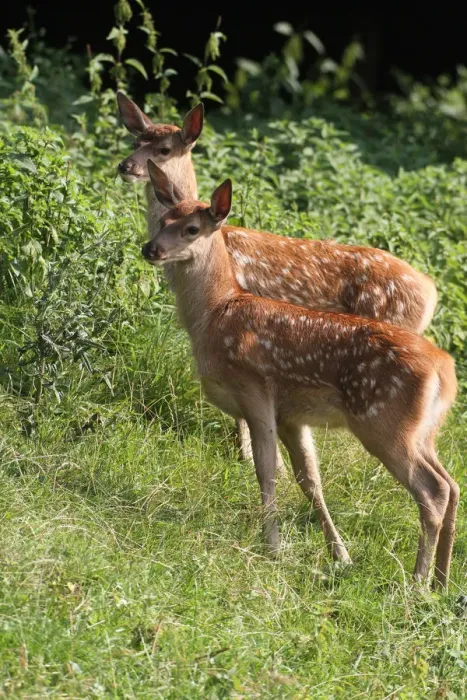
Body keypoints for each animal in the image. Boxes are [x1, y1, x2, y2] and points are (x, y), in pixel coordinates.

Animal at [141, 161, 459, 590]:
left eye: (191, 229)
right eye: (161, 221)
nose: (151, 249)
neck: (216, 313)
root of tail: (446, 370)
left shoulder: (255, 389)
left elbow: (266, 470)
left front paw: (272, 546)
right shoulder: (292, 415)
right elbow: (309, 480)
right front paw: (340, 555)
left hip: (384, 422)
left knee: (433, 490)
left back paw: (416, 583)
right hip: (423, 431)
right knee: (452, 484)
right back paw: (440, 581)